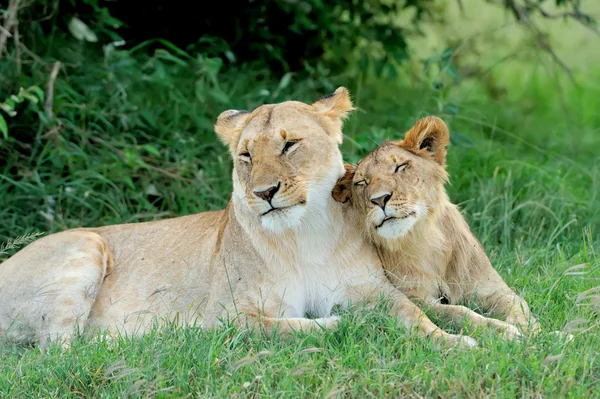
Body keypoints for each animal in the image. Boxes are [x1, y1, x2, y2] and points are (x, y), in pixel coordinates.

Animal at [1, 91, 478, 350]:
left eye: (289, 145)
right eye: (246, 155)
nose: (264, 193)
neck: (303, 235)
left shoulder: (374, 290)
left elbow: (418, 316)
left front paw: (460, 342)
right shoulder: (226, 317)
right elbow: (283, 329)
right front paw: (340, 324)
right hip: (86, 245)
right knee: (61, 352)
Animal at [330, 115, 540, 338]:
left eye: (400, 166)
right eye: (361, 182)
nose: (379, 199)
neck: (425, 240)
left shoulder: (491, 288)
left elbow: (518, 305)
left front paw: (531, 331)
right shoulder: (416, 297)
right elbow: (457, 311)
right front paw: (503, 331)